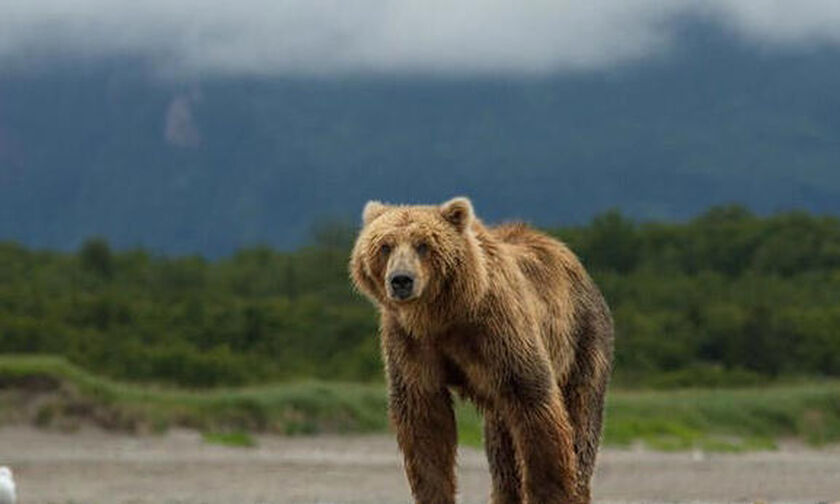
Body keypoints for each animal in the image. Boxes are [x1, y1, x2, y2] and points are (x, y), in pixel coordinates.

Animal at [352, 197, 612, 504]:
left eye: (423, 245)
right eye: (385, 246)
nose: (401, 280)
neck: (442, 315)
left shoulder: (499, 329)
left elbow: (535, 404)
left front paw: (552, 492)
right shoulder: (410, 341)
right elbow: (424, 420)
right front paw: (435, 493)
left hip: (582, 340)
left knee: (581, 418)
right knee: (501, 450)